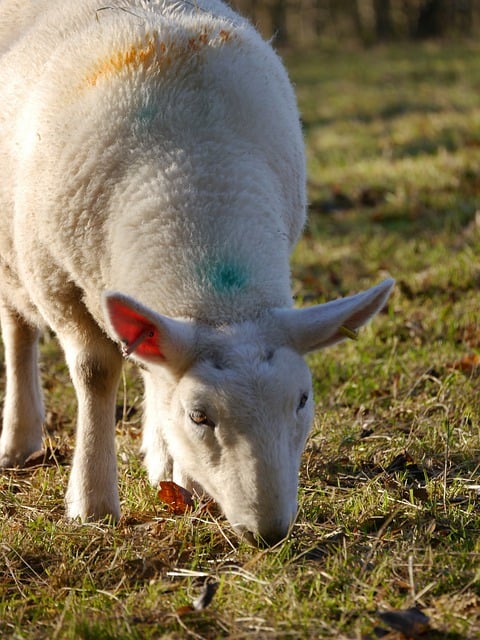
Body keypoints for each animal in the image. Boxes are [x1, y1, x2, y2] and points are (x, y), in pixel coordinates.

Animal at [0, 0, 394, 544]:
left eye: (302, 400)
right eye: (200, 416)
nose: (269, 532)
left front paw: (178, 477)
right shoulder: (56, 281)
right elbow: (95, 372)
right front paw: (93, 504)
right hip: (12, 256)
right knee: (17, 331)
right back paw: (19, 440)